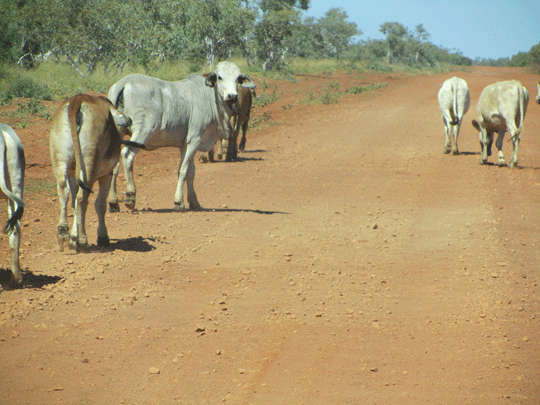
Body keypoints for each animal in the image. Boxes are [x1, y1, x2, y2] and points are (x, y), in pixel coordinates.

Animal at [108, 61, 258, 211]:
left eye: (238, 79)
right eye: (220, 77)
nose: (232, 96)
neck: (210, 98)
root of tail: (125, 82)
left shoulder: (185, 144)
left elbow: (191, 172)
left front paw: (193, 201)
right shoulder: (194, 140)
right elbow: (183, 171)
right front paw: (178, 202)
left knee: (114, 165)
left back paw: (113, 202)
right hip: (143, 131)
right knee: (127, 155)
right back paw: (130, 196)